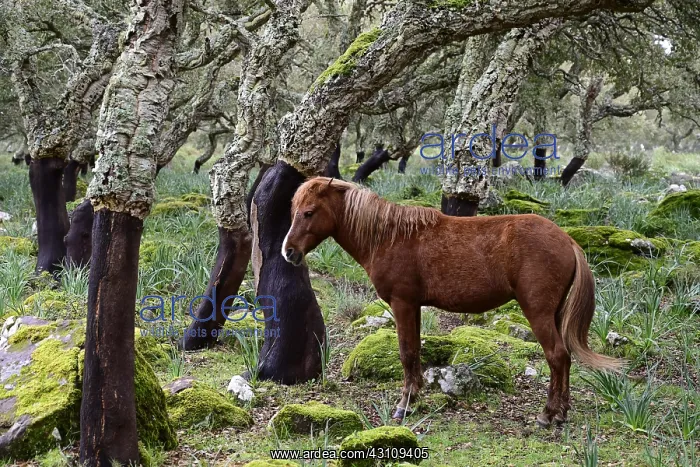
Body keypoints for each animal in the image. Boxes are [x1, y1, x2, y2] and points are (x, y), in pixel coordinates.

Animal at [282, 177, 622, 426]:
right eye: (294, 209)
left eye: (309, 212)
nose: (289, 252)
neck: (390, 236)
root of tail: (568, 240)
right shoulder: (414, 306)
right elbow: (415, 352)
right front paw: (416, 396)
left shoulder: (402, 303)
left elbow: (406, 353)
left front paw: (404, 405)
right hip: (554, 313)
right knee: (564, 358)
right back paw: (561, 411)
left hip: (537, 312)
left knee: (557, 356)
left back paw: (549, 414)